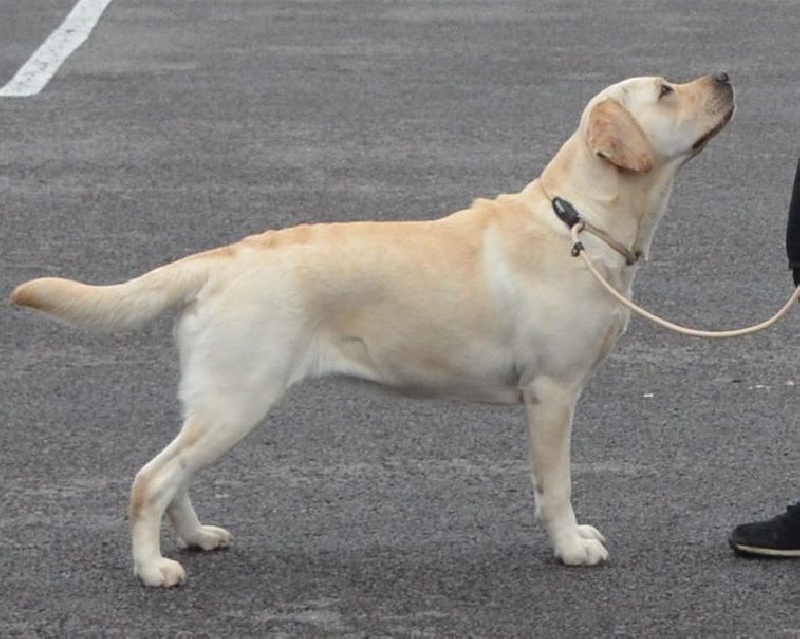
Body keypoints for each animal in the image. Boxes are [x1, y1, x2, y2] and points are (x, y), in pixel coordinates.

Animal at [10, 72, 736, 588]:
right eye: (666, 91)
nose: (726, 76)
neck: (577, 219)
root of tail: (219, 258)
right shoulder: (552, 393)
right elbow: (554, 487)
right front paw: (571, 545)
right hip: (238, 398)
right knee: (150, 479)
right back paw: (153, 568)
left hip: (216, 401)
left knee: (172, 474)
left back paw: (194, 536)